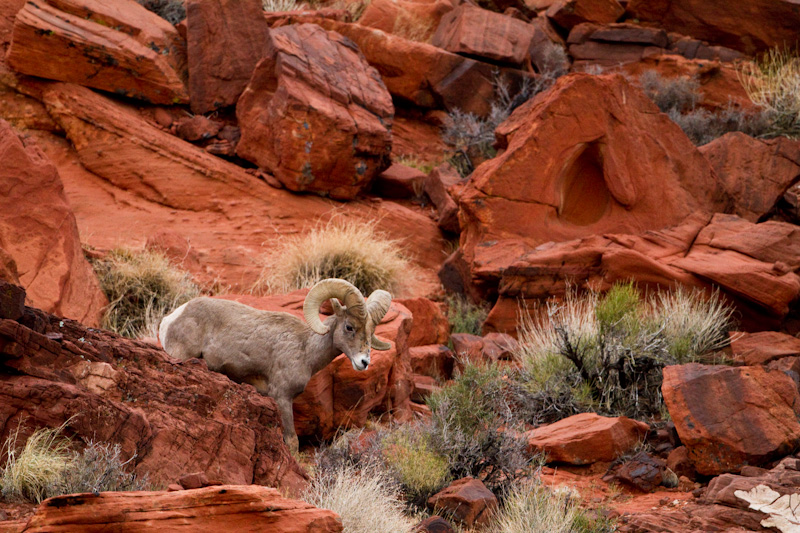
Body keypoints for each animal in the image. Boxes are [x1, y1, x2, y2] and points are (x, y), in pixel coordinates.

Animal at [156, 278, 390, 448]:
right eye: (349, 327)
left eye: (371, 331)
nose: (364, 362)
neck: (305, 348)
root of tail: (171, 318)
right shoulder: (282, 397)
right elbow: (292, 441)